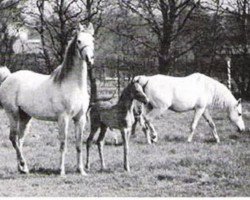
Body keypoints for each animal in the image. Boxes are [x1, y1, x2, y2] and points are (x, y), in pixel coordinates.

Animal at [0, 23, 94, 176]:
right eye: (79, 41)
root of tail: (8, 77)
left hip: (25, 116)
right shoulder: (63, 118)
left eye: (93, 40)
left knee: (20, 140)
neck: (73, 85)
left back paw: (23, 168)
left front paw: (81, 170)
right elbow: (63, 143)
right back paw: (23, 165)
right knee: (13, 138)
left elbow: (79, 144)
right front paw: (61, 171)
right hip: (13, 114)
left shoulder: (80, 119)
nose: (89, 58)